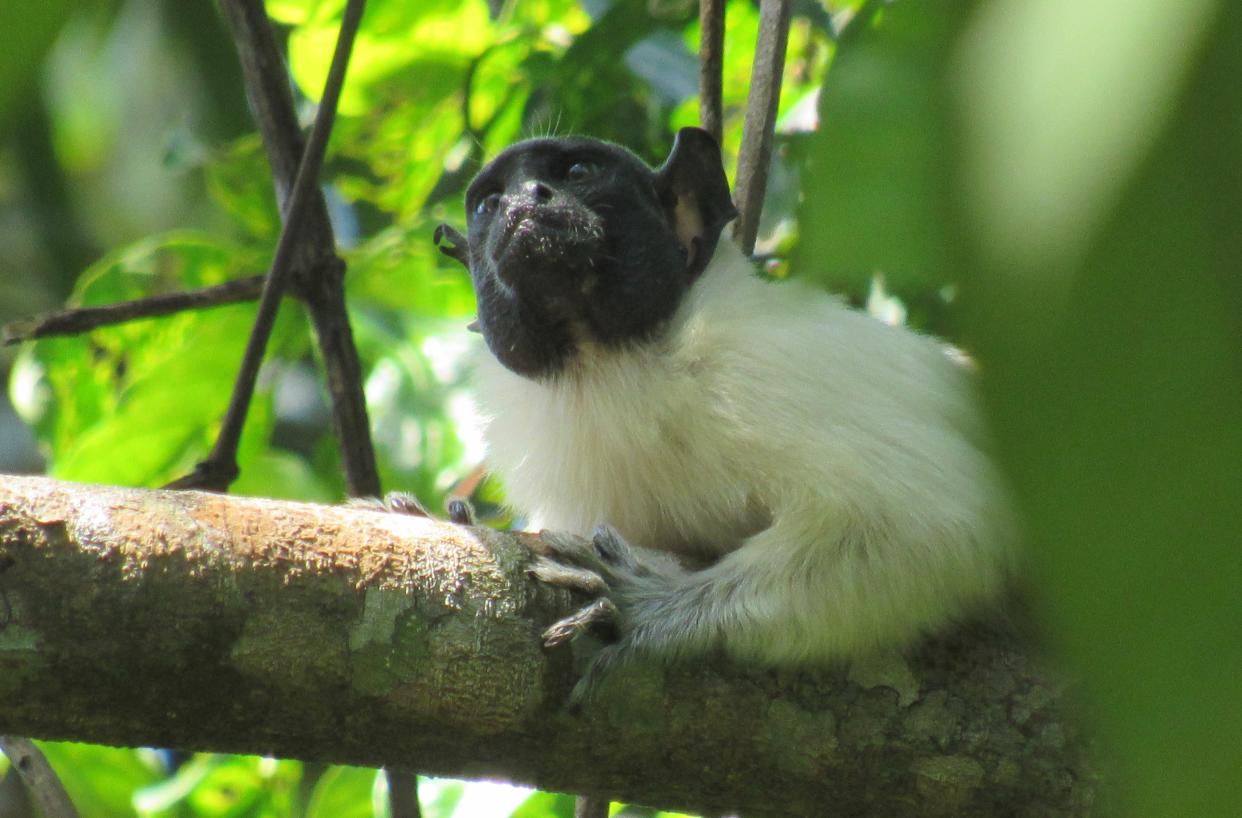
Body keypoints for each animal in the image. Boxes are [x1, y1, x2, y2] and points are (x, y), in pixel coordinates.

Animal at [437, 127, 1018, 705]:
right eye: (490, 203)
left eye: (577, 172)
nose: (525, 200)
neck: (613, 370)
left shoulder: (765, 371)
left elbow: (934, 522)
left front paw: (651, 609)